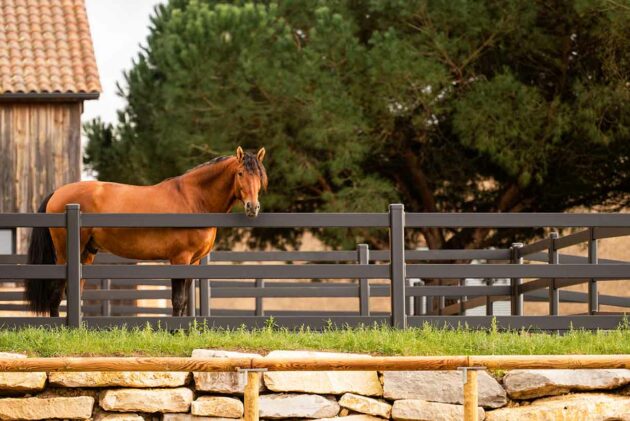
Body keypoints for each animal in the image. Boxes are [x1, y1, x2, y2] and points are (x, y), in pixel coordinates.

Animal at [25, 147, 268, 316]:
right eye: (240, 173)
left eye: (260, 175)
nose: (252, 207)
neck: (193, 200)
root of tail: (58, 192)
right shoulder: (179, 259)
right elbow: (178, 300)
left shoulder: (194, 262)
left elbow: (185, 301)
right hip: (65, 254)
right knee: (56, 291)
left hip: (86, 253)